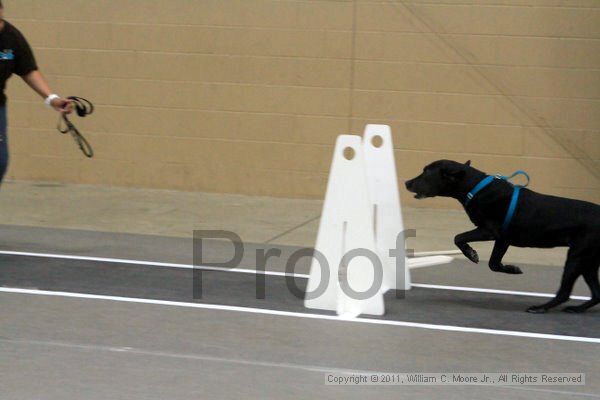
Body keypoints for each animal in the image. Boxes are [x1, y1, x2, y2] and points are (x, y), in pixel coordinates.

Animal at [406, 159, 596, 312]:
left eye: (426, 172)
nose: (406, 182)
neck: (475, 188)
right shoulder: (503, 239)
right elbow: (493, 264)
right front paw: (511, 269)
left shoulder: (489, 231)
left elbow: (458, 237)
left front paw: (471, 254)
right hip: (587, 261)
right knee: (596, 294)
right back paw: (577, 309)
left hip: (576, 257)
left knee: (565, 293)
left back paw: (540, 308)